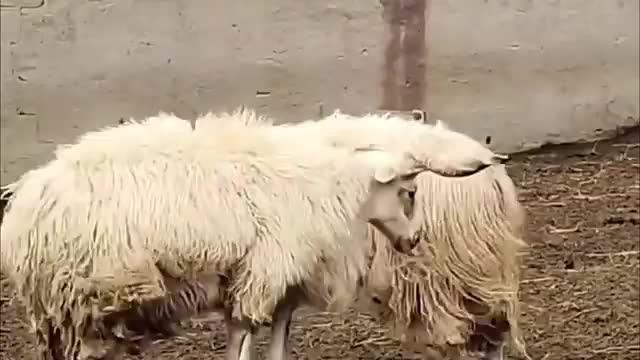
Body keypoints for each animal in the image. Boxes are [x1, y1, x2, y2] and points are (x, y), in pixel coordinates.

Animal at [1, 111, 490, 358]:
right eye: (409, 192)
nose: (415, 241)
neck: (330, 182)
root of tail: (25, 207)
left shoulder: (276, 279)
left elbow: (275, 341)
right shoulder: (261, 273)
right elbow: (243, 341)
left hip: (61, 309)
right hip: (89, 297)